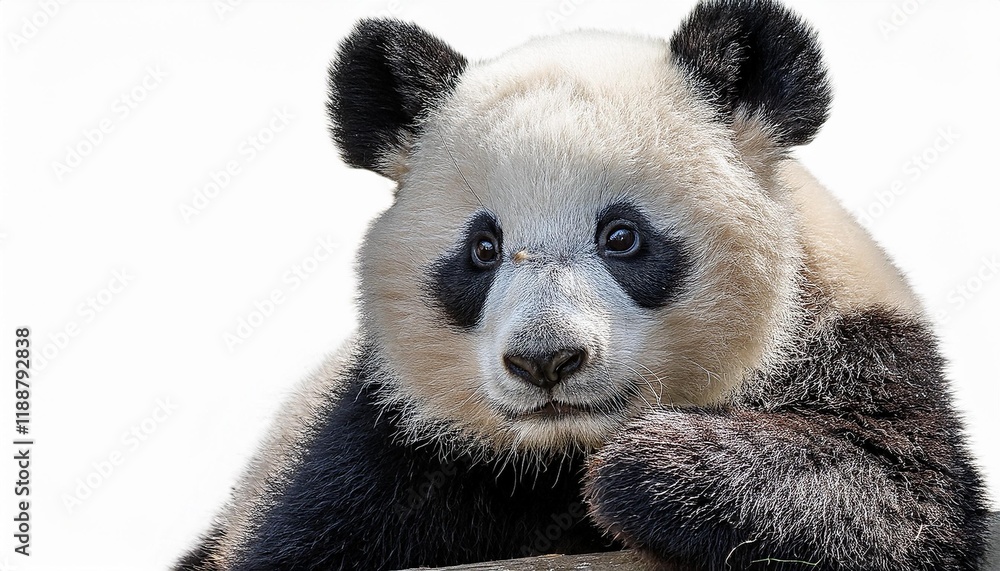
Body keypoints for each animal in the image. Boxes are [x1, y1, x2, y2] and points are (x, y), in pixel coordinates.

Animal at [176, 0, 991, 569]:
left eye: (621, 236)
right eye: (482, 249)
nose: (546, 361)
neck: (559, 448)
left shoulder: (861, 345)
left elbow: (895, 498)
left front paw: (657, 467)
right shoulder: (377, 444)